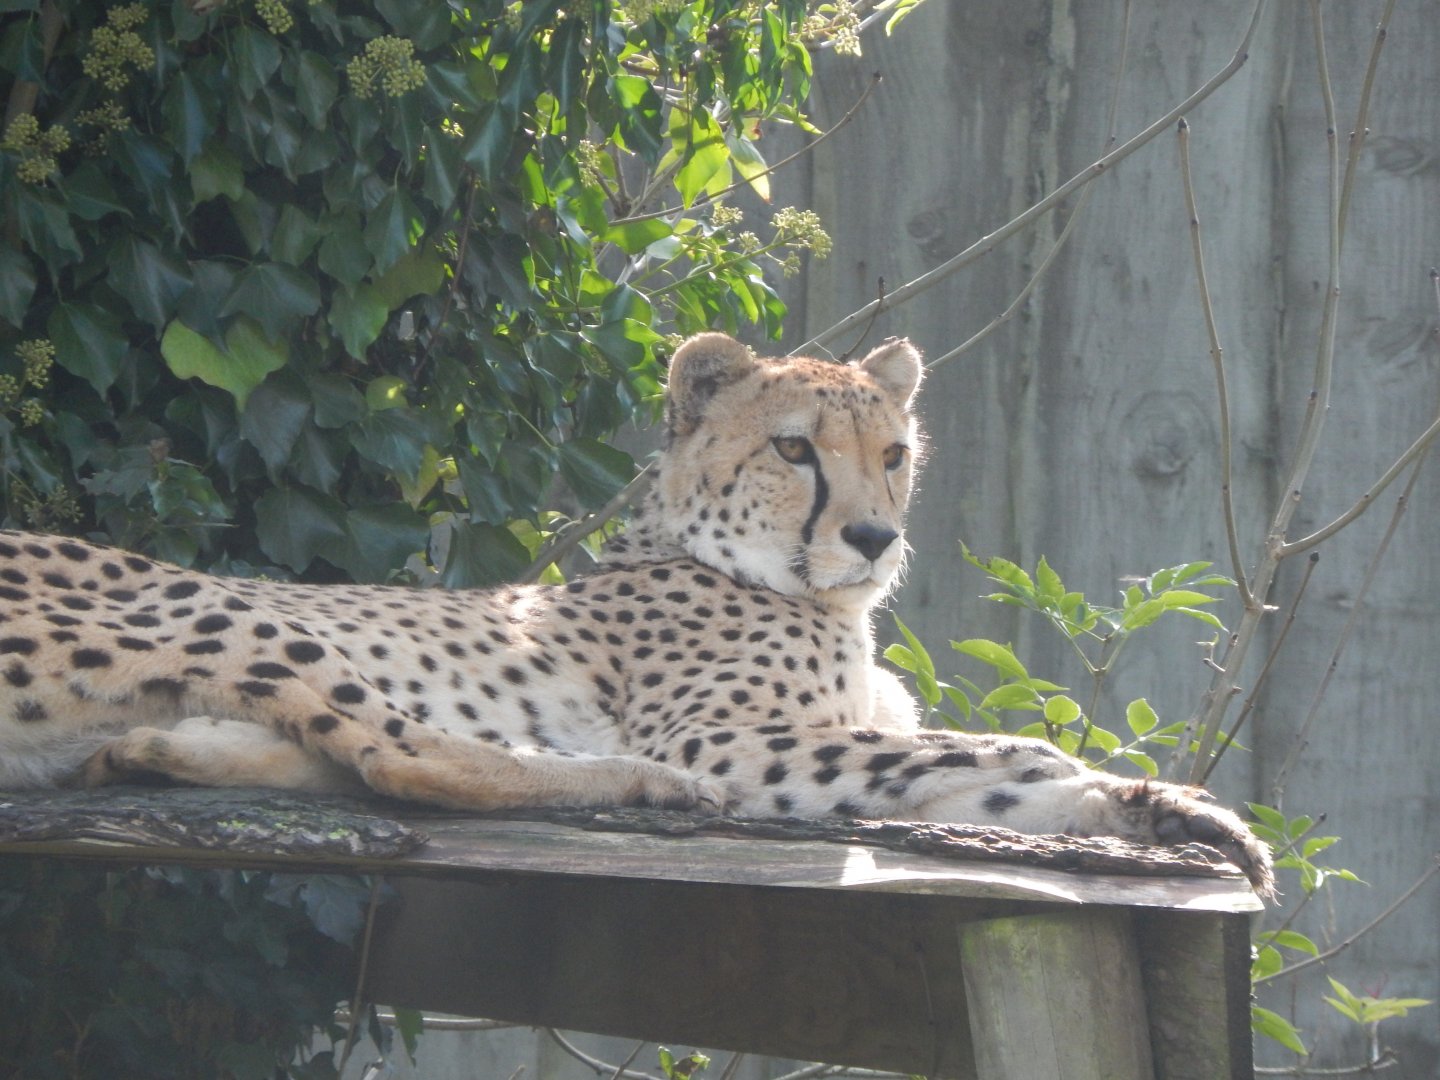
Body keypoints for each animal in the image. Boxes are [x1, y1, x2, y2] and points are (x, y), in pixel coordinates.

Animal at [0, 332, 1272, 894]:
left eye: (895, 455)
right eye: (796, 451)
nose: (874, 537)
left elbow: (983, 768)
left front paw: (1162, 810)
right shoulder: (736, 737)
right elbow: (990, 749)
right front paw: (1121, 788)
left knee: (325, 753)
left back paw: (149, 750)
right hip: (219, 603)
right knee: (402, 754)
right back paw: (642, 787)